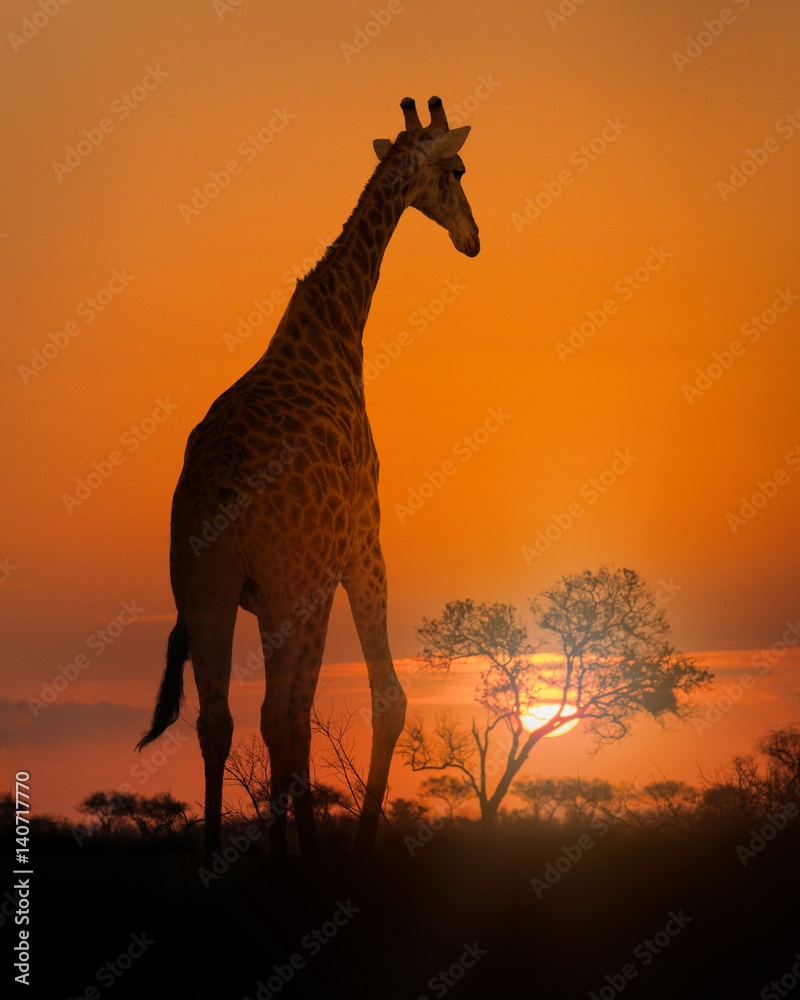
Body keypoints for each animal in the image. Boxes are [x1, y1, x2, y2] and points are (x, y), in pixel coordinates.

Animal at [136, 95, 480, 857]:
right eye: (458, 170)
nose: (473, 238)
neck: (334, 331)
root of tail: (224, 494)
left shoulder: (271, 593)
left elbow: (289, 718)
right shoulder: (360, 545)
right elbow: (383, 698)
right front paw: (352, 851)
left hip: (203, 589)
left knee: (220, 719)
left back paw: (219, 856)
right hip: (292, 585)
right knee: (278, 715)